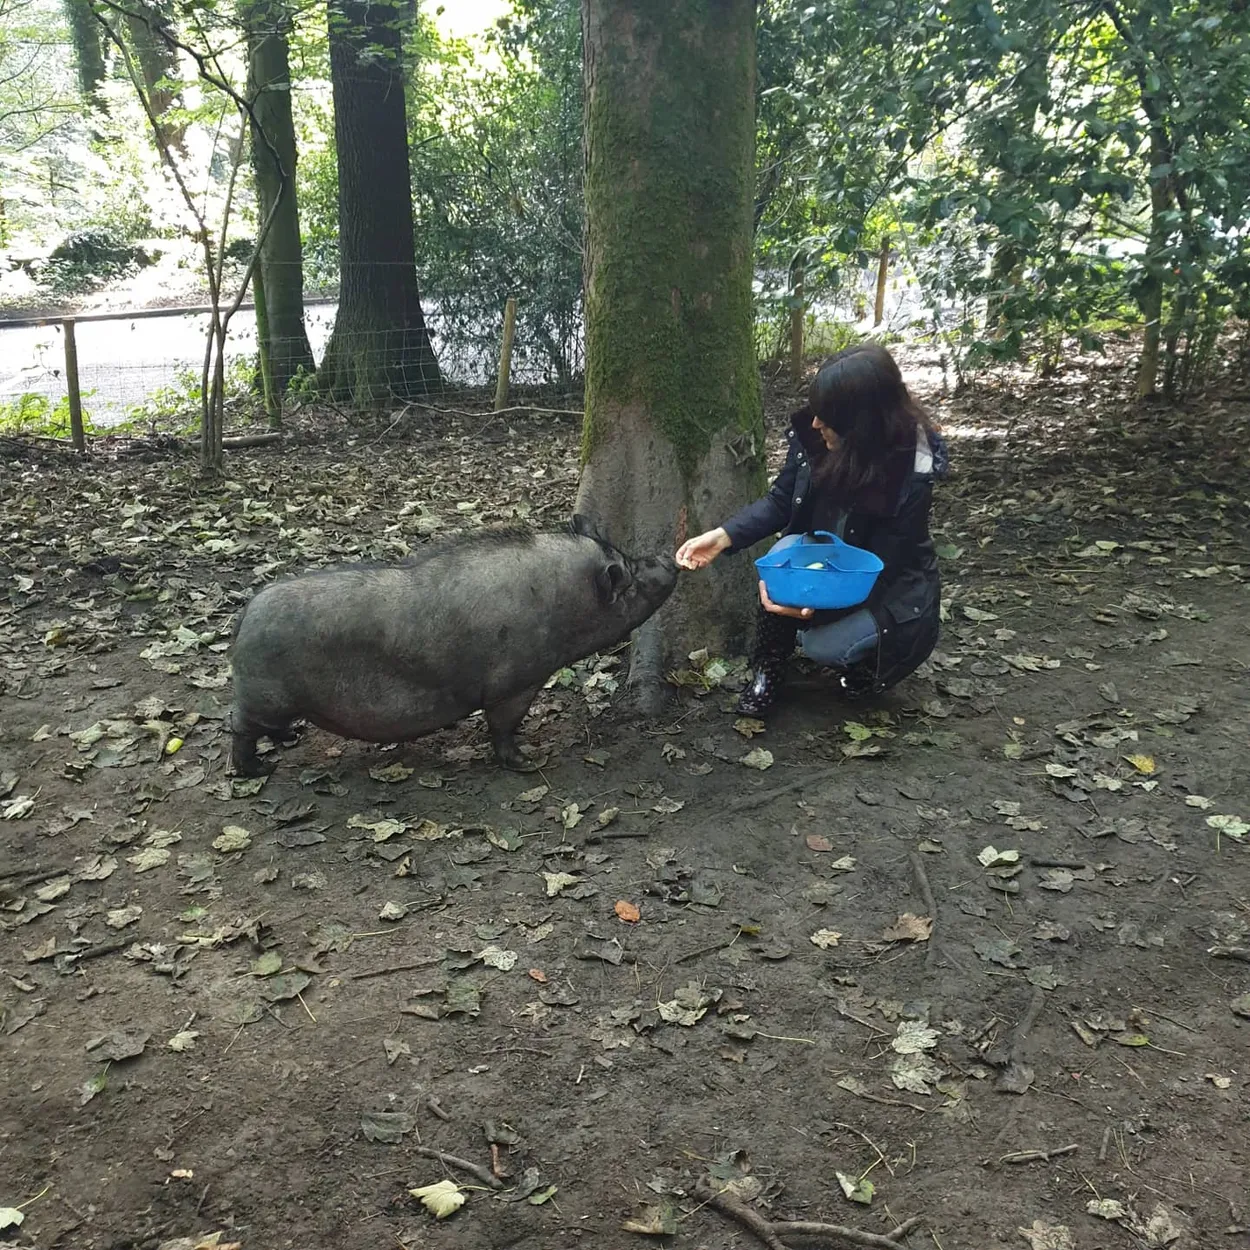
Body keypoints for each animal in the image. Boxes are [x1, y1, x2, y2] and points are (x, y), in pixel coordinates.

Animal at [228, 516, 677, 776]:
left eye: (630, 555)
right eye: (629, 577)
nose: (668, 558)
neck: (561, 603)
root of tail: (245, 617)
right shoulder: (514, 683)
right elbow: (503, 727)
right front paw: (530, 763)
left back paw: (289, 740)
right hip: (263, 698)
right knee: (238, 728)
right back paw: (257, 771)